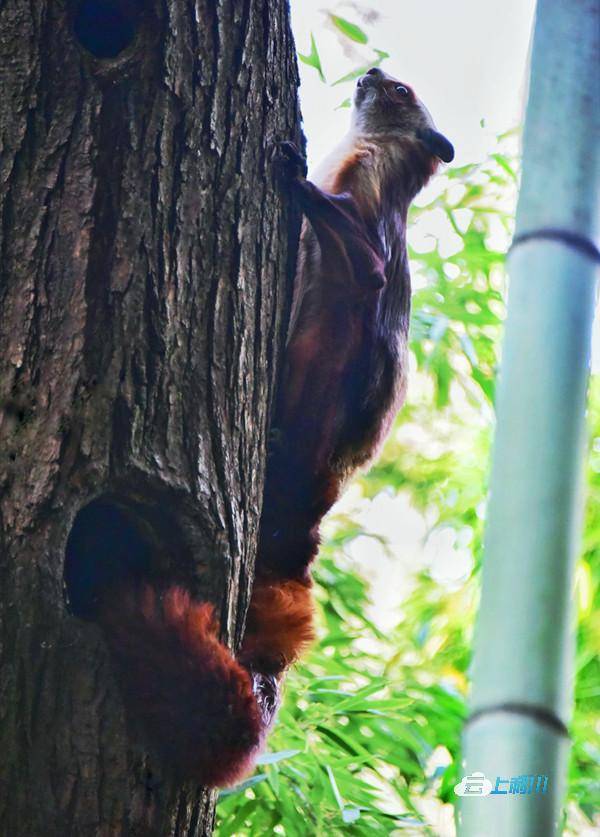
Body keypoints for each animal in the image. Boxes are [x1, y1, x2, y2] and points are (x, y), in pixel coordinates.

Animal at [70, 65, 452, 784]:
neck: (365, 161)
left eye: (402, 94)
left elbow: (365, 264)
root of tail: (307, 518)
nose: (373, 71)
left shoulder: (371, 234)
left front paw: (292, 177)